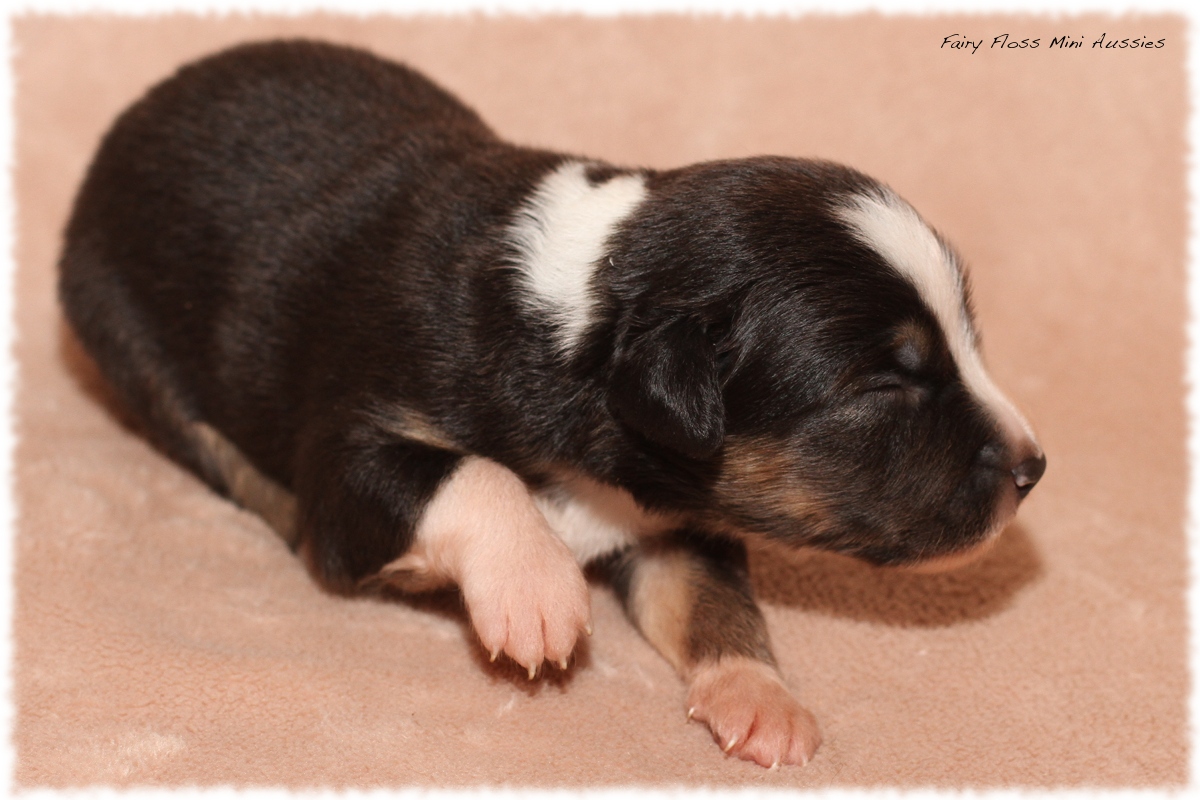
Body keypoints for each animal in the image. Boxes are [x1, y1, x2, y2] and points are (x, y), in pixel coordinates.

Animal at [60, 40, 1046, 772]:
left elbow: (713, 596)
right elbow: (467, 472)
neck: (587, 319)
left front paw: (762, 696)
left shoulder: (683, 506)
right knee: (215, 449)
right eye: (883, 385)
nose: (1034, 466)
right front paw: (537, 592)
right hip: (120, 334)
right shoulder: (350, 450)